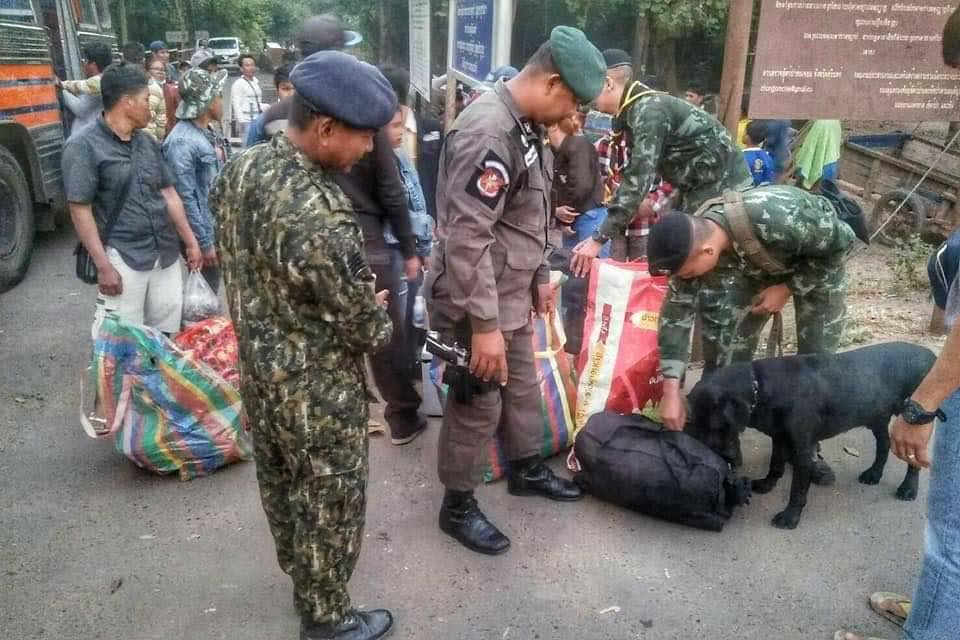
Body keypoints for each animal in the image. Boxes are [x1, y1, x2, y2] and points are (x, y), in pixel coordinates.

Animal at [688, 342, 932, 528]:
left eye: (711, 424)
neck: (760, 386)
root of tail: (930, 354)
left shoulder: (803, 451)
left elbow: (797, 490)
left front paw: (790, 517)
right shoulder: (779, 438)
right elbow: (775, 465)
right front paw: (767, 485)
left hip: (913, 425)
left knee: (913, 460)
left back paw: (908, 488)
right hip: (877, 418)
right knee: (883, 445)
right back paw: (873, 473)